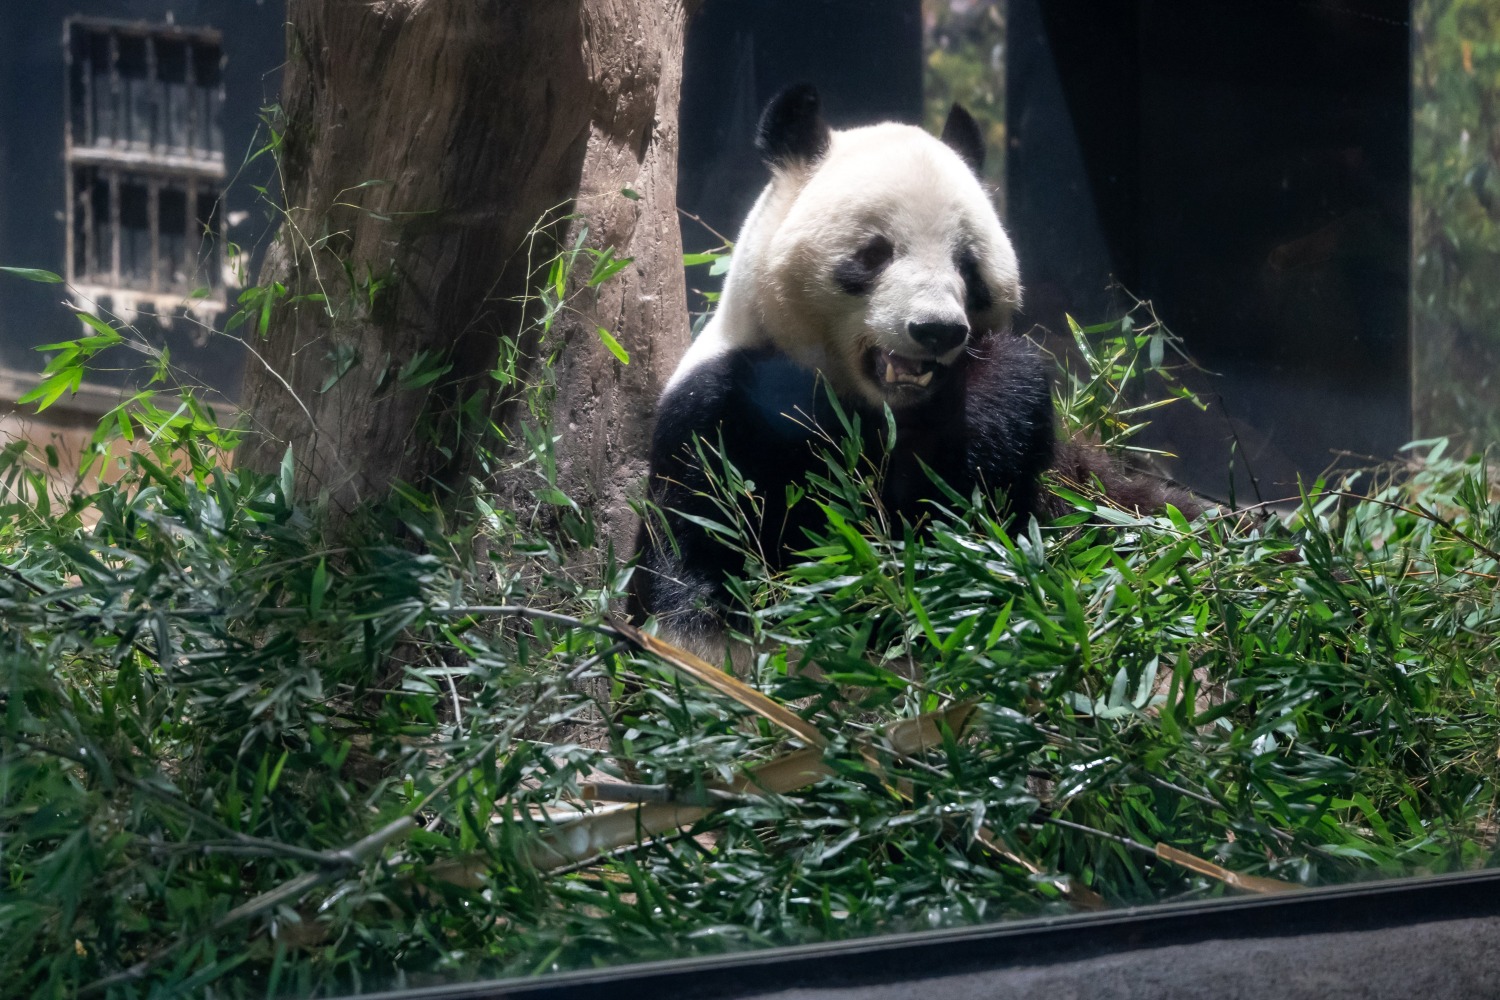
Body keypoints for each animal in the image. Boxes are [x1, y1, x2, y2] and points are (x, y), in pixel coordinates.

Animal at [630, 84, 1193, 660]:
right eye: (875, 253)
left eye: (967, 264)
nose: (938, 330)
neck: (878, 409)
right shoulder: (727, 415)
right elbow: (736, 557)